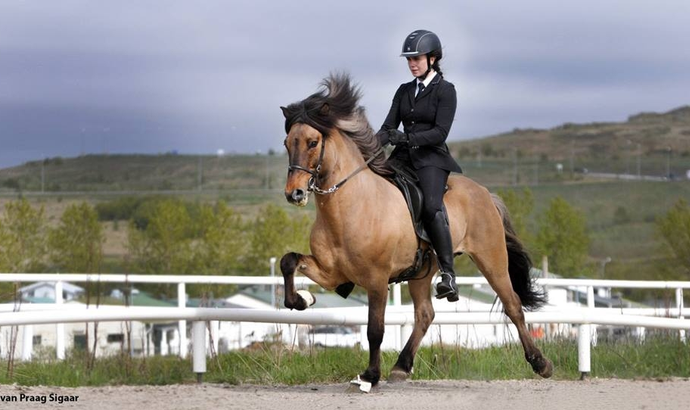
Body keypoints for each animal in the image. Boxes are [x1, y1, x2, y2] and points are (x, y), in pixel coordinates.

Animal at [276, 74, 552, 388]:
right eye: (287, 142)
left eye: (313, 142)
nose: (294, 194)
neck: (348, 208)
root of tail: (484, 192)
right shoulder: (332, 272)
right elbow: (288, 261)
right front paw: (302, 299)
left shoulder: (376, 279)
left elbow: (375, 329)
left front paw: (370, 376)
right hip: (423, 271)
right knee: (425, 314)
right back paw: (401, 366)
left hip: (491, 258)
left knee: (513, 305)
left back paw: (540, 363)